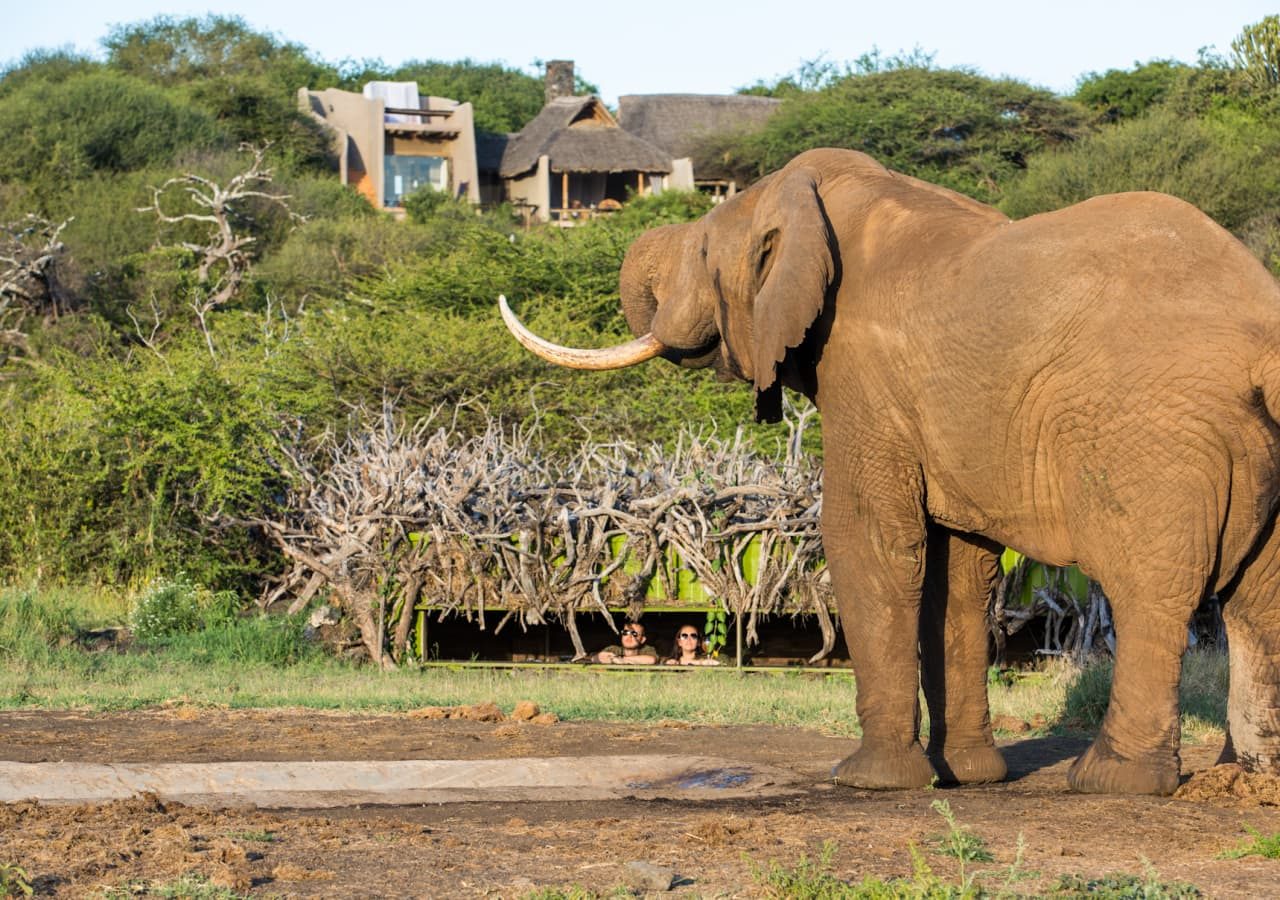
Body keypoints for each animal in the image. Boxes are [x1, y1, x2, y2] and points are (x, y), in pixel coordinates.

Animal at [501, 147, 1280, 793]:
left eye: (699, 250)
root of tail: (1261, 334)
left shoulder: (862, 373)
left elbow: (868, 540)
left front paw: (867, 780)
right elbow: (958, 576)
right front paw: (967, 777)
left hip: (1150, 436)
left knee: (1151, 592)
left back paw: (1110, 781)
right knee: (1258, 599)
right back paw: (1246, 780)